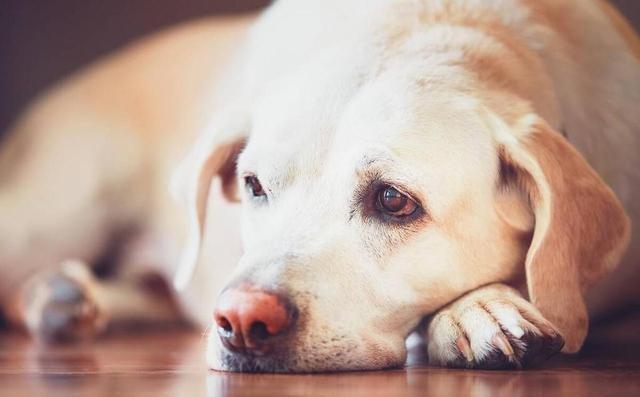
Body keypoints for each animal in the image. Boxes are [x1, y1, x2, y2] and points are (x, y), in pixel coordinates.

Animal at [1, 0, 640, 372]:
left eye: (393, 200)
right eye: (253, 185)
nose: (240, 320)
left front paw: (478, 307)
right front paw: (478, 309)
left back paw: (65, 298)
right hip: (52, 216)